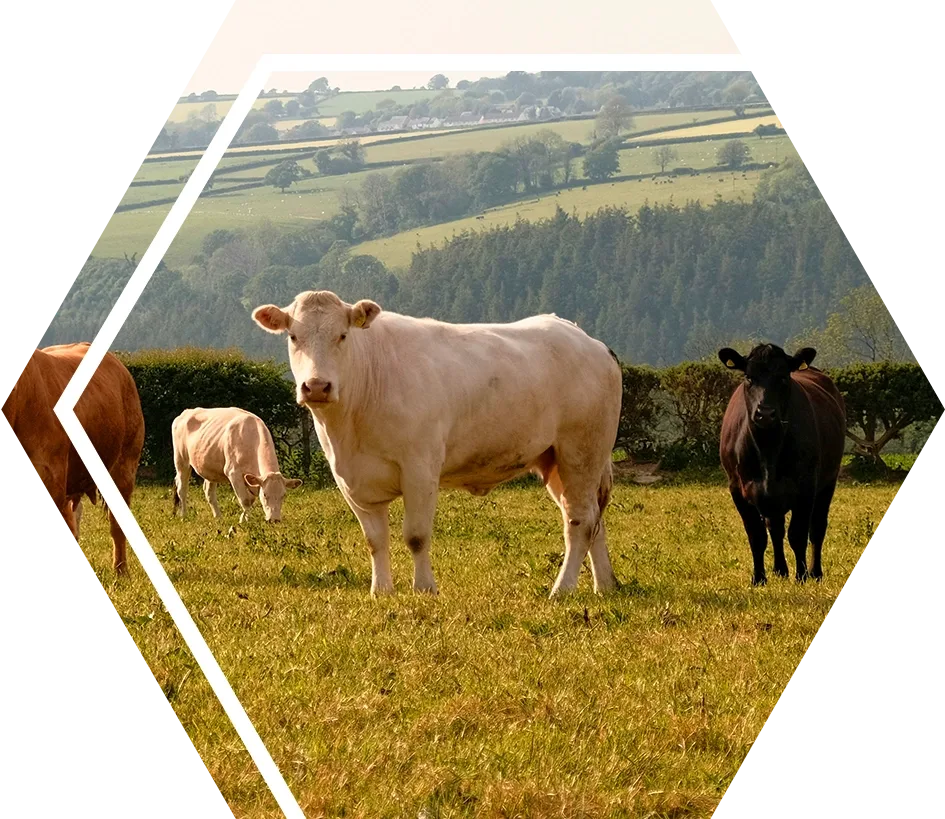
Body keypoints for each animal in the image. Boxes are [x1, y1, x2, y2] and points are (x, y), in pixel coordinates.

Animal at [171, 407, 302, 524]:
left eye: (283, 495)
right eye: (265, 495)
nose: (274, 520)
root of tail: (186, 412)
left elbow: (251, 499)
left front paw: (245, 519)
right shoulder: (233, 473)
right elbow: (245, 500)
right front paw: (245, 521)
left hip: (210, 467)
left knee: (209, 492)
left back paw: (218, 518)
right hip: (181, 460)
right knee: (182, 489)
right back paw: (184, 516)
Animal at [251, 290, 623, 599]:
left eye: (342, 335)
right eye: (294, 337)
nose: (316, 386)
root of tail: (589, 341)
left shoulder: (420, 469)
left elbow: (416, 536)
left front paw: (424, 588)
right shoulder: (351, 480)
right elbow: (375, 540)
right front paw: (381, 591)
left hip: (581, 452)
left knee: (580, 522)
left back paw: (563, 589)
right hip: (556, 461)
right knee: (593, 520)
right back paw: (604, 585)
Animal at [718, 344, 846, 587]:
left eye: (784, 377)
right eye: (749, 377)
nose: (765, 413)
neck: (768, 449)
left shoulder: (806, 486)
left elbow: (798, 534)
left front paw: (802, 575)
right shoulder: (737, 488)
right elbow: (756, 535)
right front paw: (759, 578)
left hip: (828, 482)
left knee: (817, 528)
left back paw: (815, 572)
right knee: (775, 528)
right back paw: (780, 569)